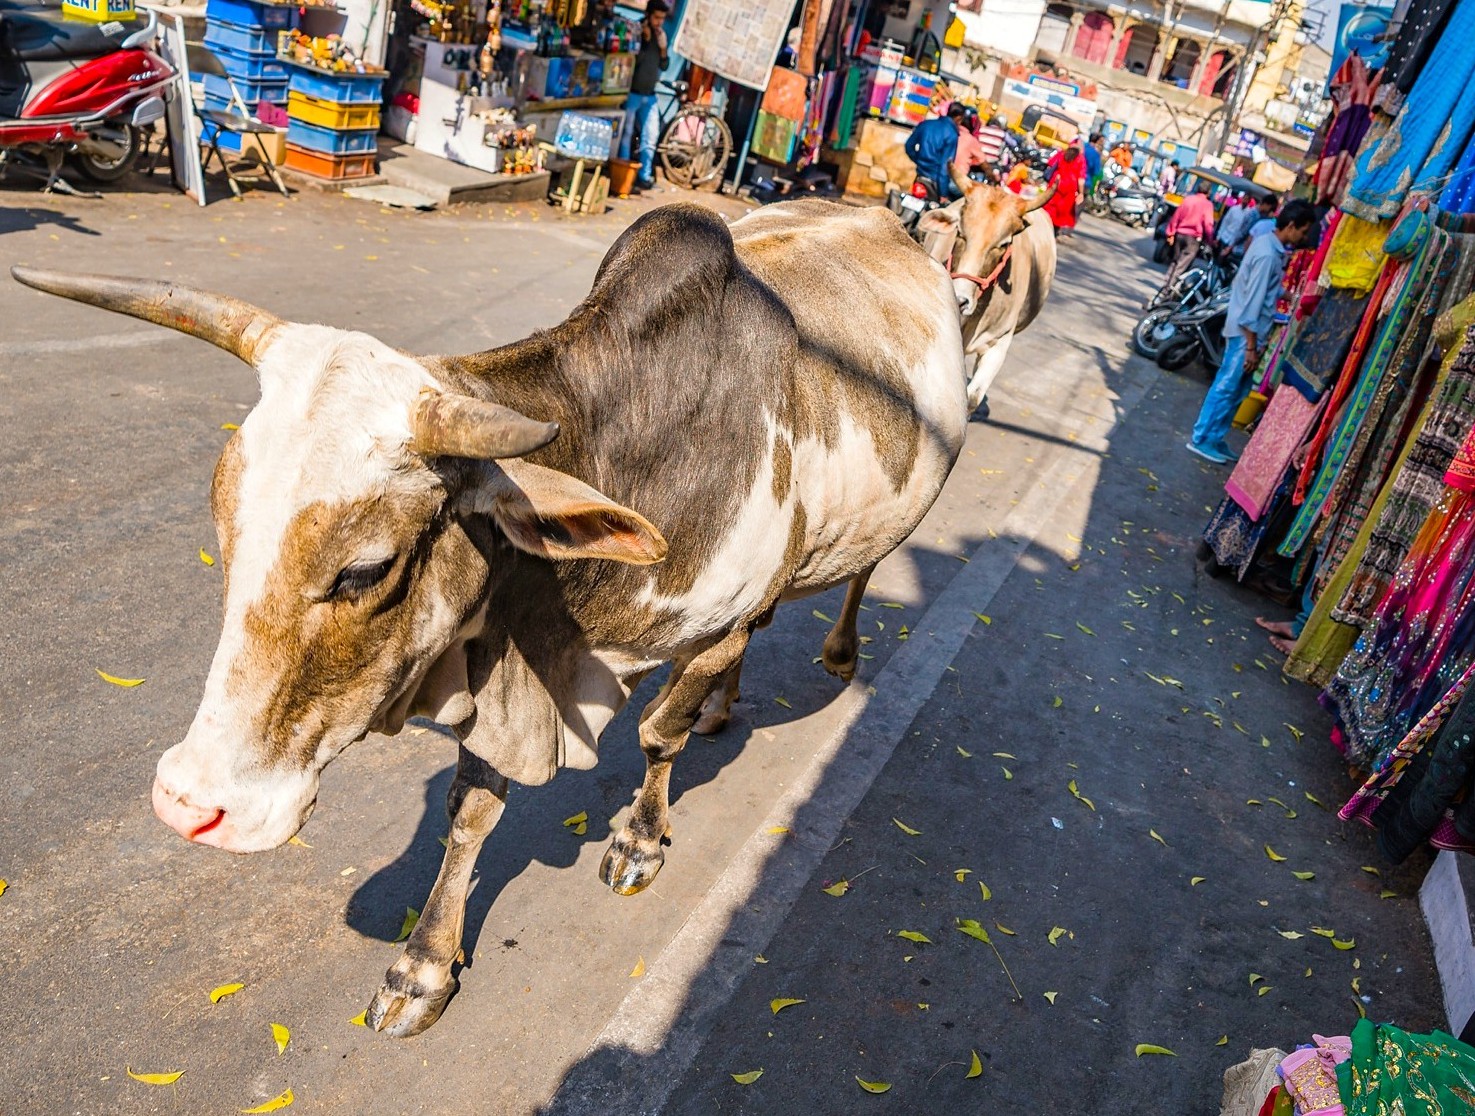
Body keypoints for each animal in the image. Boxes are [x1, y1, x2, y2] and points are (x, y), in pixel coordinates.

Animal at [12, 199, 968, 1038]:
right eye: (224, 531)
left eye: (367, 568)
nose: (188, 806)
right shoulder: (506, 681)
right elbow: (472, 810)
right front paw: (422, 967)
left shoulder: (712, 628)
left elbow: (657, 735)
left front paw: (640, 840)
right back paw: (727, 705)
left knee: (854, 577)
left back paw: (834, 655)